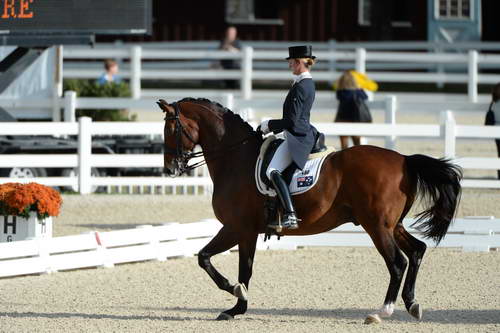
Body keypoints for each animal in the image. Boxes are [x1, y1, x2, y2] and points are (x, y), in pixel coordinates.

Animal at [158, 97, 462, 322]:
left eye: (171, 130)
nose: (170, 169)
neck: (235, 158)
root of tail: (404, 160)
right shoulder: (247, 231)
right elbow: (234, 265)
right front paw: (238, 306)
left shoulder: (238, 227)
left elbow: (214, 261)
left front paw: (236, 296)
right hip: (392, 225)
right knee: (417, 251)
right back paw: (412, 305)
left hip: (376, 226)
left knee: (397, 262)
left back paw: (380, 312)